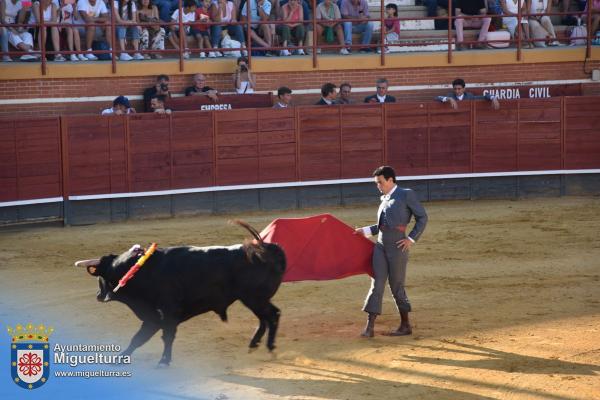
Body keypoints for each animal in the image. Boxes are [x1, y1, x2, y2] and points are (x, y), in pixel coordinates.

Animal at [75, 222, 286, 366]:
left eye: (100, 277)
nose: (98, 295)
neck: (140, 271)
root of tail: (268, 248)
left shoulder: (166, 313)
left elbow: (166, 336)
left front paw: (163, 361)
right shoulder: (153, 317)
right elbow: (138, 338)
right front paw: (120, 359)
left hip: (254, 298)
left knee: (272, 316)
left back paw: (269, 348)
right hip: (253, 299)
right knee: (265, 318)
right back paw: (255, 345)